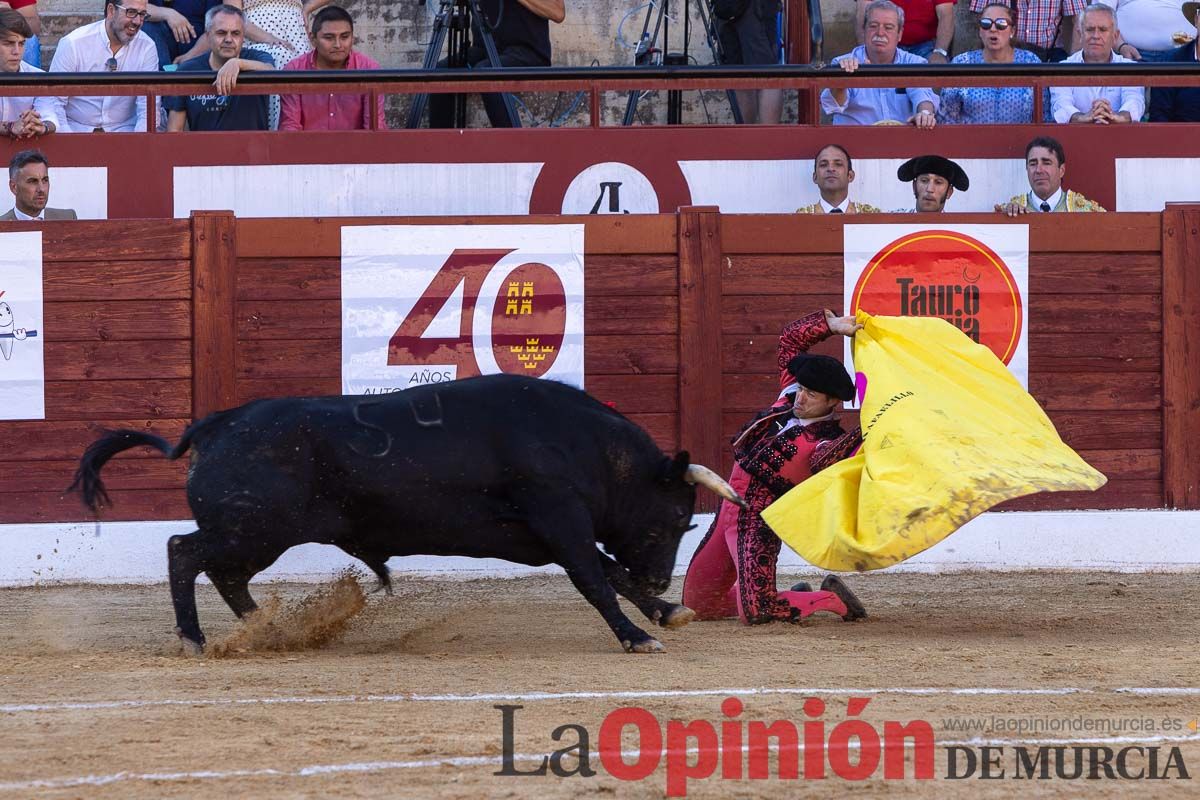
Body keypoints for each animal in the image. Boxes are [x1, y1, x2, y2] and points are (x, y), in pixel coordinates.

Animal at [70, 376, 744, 657]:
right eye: (671, 519)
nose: (662, 576)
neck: (581, 445)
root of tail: (215, 425)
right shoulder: (561, 523)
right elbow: (597, 580)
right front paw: (639, 634)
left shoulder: (547, 536)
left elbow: (610, 572)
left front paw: (666, 610)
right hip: (252, 528)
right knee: (185, 552)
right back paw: (195, 638)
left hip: (257, 535)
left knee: (225, 573)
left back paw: (268, 630)